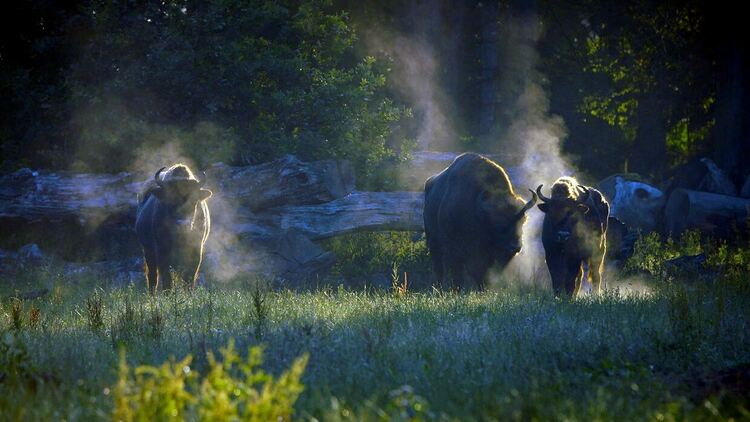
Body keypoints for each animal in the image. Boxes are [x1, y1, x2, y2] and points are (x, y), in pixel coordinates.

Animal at [134, 165, 212, 294]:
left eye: (194, 200)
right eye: (169, 199)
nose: (183, 225)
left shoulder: (196, 250)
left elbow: (189, 278)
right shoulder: (162, 251)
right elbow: (167, 278)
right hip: (148, 251)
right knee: (152, 277)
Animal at [424, 152, 540, 290]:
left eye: (522, 221)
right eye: (498, 225)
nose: (515, 247)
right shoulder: (457, 248)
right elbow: (463, 271)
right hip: (434, 242)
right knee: (439, 267)